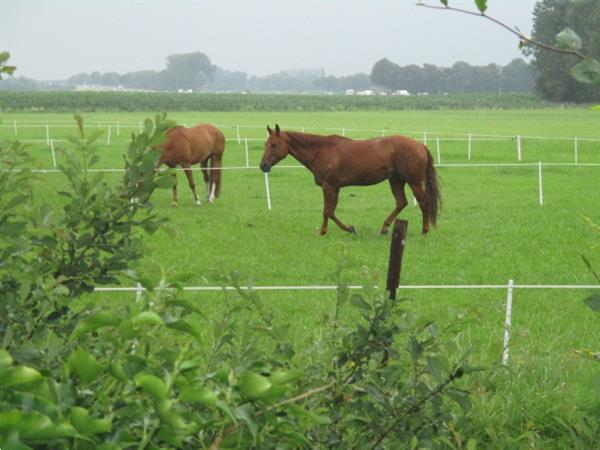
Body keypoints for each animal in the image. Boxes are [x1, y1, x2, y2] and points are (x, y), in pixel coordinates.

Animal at [258, 124, 440, 236]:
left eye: (274, 144)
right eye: (266, 144)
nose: (263, 165)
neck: (320, 150)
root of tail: (420, 145)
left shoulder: (329, 186)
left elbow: (327, 211)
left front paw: (327, 231)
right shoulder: (335, 187)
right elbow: (331, 211)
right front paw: (347, 228)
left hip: (413, 182)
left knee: (423, 202)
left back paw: (424, 230)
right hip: (396, 180)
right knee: (401, 202)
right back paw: (384, 228)